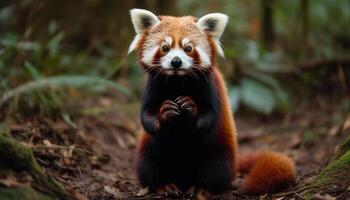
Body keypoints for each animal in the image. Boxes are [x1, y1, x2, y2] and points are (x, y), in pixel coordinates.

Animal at [127, 8, 294, 196]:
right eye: (165, 48)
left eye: (188, 48)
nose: (176, 61)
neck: (177, 82)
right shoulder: (152, 86)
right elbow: (147, 117)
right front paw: (165, 112)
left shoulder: (210, 87)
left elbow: (209, 115)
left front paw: (190, 107)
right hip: (148, 151)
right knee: (149, 164)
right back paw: (164, 185)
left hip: (220, 152)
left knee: (215, 168)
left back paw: (202, 188)